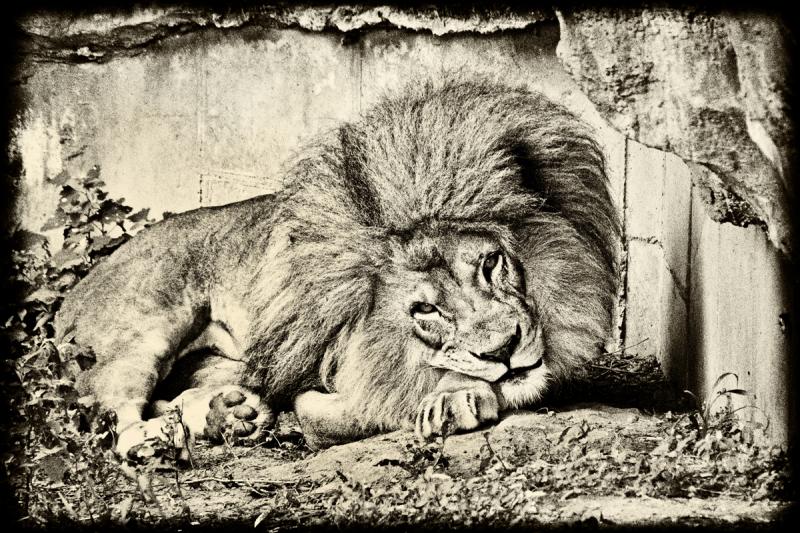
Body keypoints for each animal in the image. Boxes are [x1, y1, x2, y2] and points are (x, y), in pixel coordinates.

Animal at [54, 78, 619, 457]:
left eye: (490, 263)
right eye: (425, 310)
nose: (502, 350)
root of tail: (74, 292)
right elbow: (340, 409)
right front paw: (454, 397)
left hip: (227, 359)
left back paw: (227, 414)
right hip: (143, 334)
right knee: (114, 417)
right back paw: (161, 440)